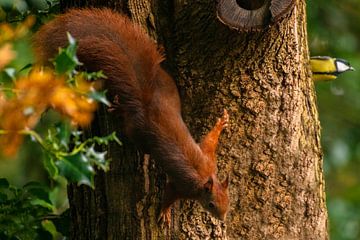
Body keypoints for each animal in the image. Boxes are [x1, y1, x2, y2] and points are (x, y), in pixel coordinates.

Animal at [34, 8, 231, 224]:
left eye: (228, 201)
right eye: (211, 204)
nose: (222, 219)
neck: (205, 176)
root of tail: (146, 101)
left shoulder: (209, 159)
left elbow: (209, 142)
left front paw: (221, 123)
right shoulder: (184, 186)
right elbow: (170, 194)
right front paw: (164, 212)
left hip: (165, 82)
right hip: (137, 131)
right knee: (131, 129)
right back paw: (119, 109)